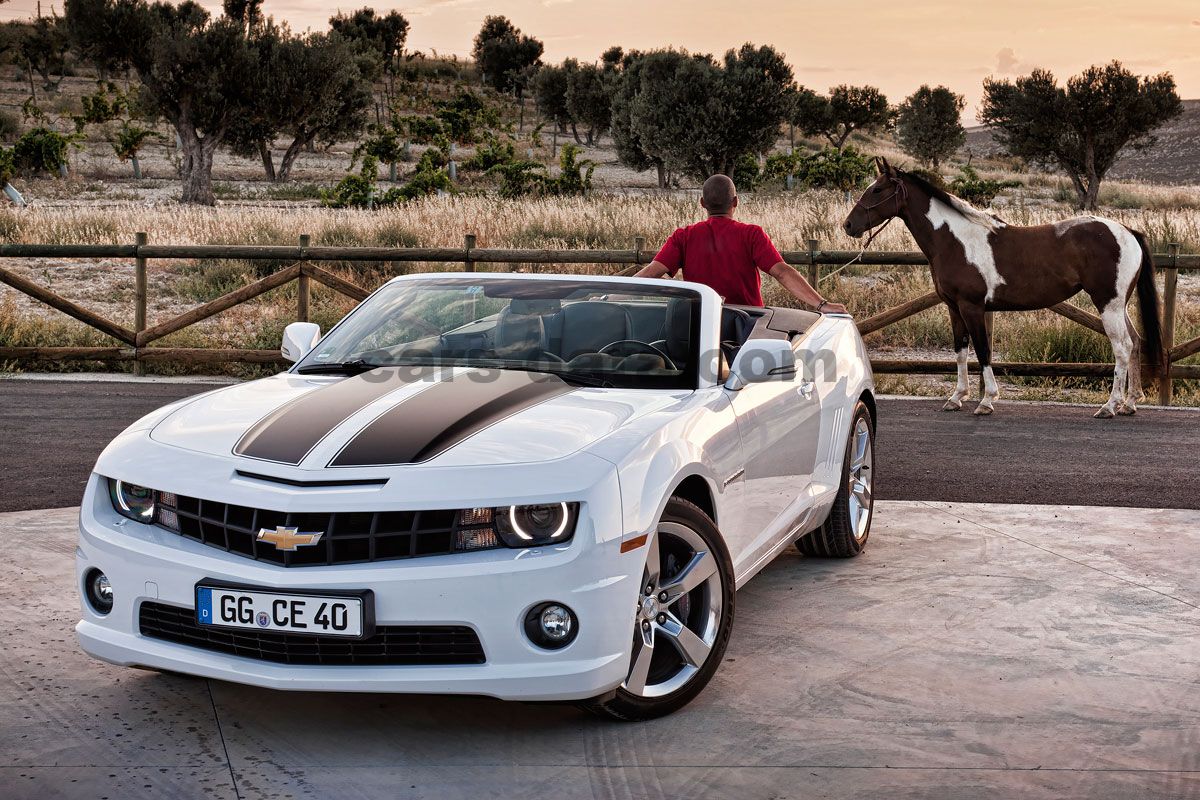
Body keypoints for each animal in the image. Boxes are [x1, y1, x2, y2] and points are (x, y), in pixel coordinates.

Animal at [844, 158, 1161, 419]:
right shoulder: (954, 308)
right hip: (1118, 306)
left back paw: (1110, 406)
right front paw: (957, 398)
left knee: (1122, 347)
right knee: (1135, 343)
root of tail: (1127, 232)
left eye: (877, 190)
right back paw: (1130, 403)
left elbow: (983, 351)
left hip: (1108, 304)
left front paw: (987, 401)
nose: (848, 225)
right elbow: (961, 351)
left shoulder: (972, 307)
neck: (956, 241)